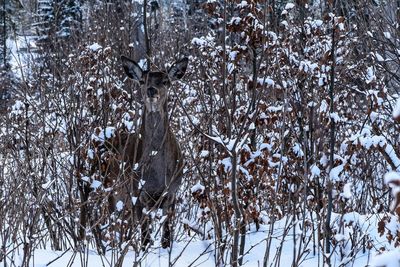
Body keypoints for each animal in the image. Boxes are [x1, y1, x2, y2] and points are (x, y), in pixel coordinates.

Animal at [108, 55, 188, 250]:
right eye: (143, 81)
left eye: (166, 81)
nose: (152, 90)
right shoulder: (138, 193)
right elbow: (145, 236)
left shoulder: (172, 192)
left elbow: (166, 235)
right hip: (112, 192)